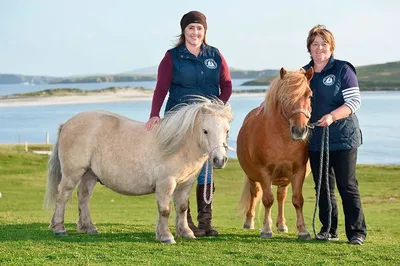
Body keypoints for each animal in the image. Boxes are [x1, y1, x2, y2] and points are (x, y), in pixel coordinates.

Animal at [44, 97, 231, 243]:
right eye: (205, 131)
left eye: (227, 131)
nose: (219, 160)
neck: (177, 146)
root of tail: (67, 124)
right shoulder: (166, 184)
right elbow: (165, 210)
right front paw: (166, 236)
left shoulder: (185, 185)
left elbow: (182, 208)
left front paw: (185, 232)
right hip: (73, 173)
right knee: (63, 196)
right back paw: (59, 228)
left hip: (89, 174)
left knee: (84, 198)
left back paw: (88, 227)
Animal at [238, 66, 312, 239]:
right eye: (284, 98)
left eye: (309, 95)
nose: (299, 130)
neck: (283, 140)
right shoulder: (264, 173)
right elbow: (267, 200)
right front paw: (266, 229)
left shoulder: (298, 172)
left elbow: (297, 200)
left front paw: (303, 230)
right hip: (253, 177)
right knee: (255, 193)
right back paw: (249, 221)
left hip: (283, 179)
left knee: (281, 197)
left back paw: (282, 225)